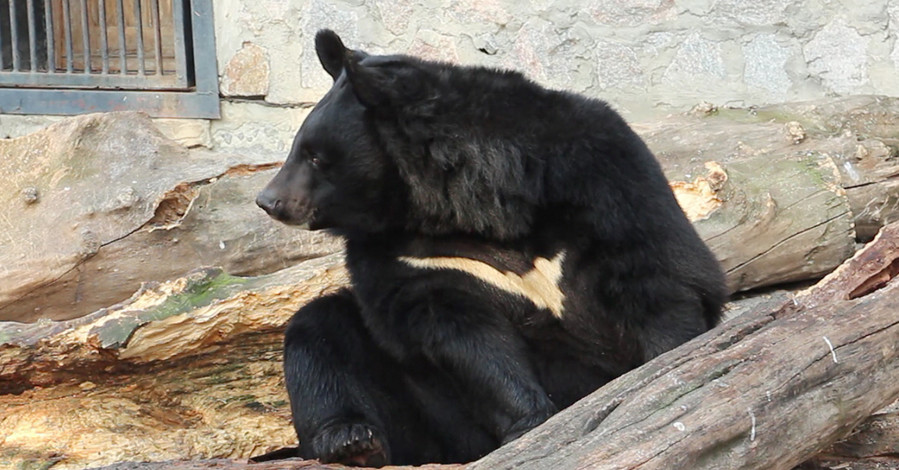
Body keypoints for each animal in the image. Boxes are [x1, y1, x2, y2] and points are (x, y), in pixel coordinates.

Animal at [255, 29, 732, 466]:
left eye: (315, 157)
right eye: (298, 149)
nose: (268, 200)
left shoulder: (601, 177)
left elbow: (653, 272)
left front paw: (670, 363)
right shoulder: (413, 258)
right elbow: (464, 336)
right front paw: (531, 420)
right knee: (320, 333)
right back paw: (352, 441)